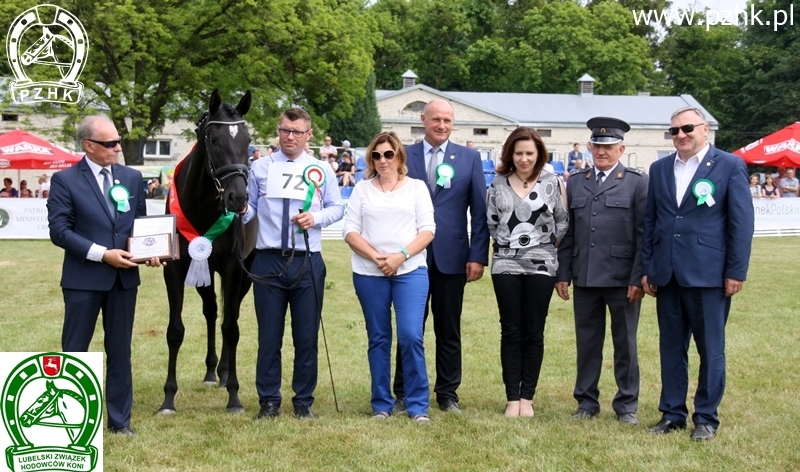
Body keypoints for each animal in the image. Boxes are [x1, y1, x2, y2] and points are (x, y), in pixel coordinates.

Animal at [156, 88, 256, 412]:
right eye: (214, 139)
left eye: (248, 141)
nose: (238, 198)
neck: (201, 205)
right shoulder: (175, 270)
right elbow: (175, 330)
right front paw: (168, 398)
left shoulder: (234, 270)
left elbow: (231, 328)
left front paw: (234, 397)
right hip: (204, 273)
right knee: (212, 311)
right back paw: (214, 371)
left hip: (245, 276)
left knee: (228, 314)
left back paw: (223, 374)